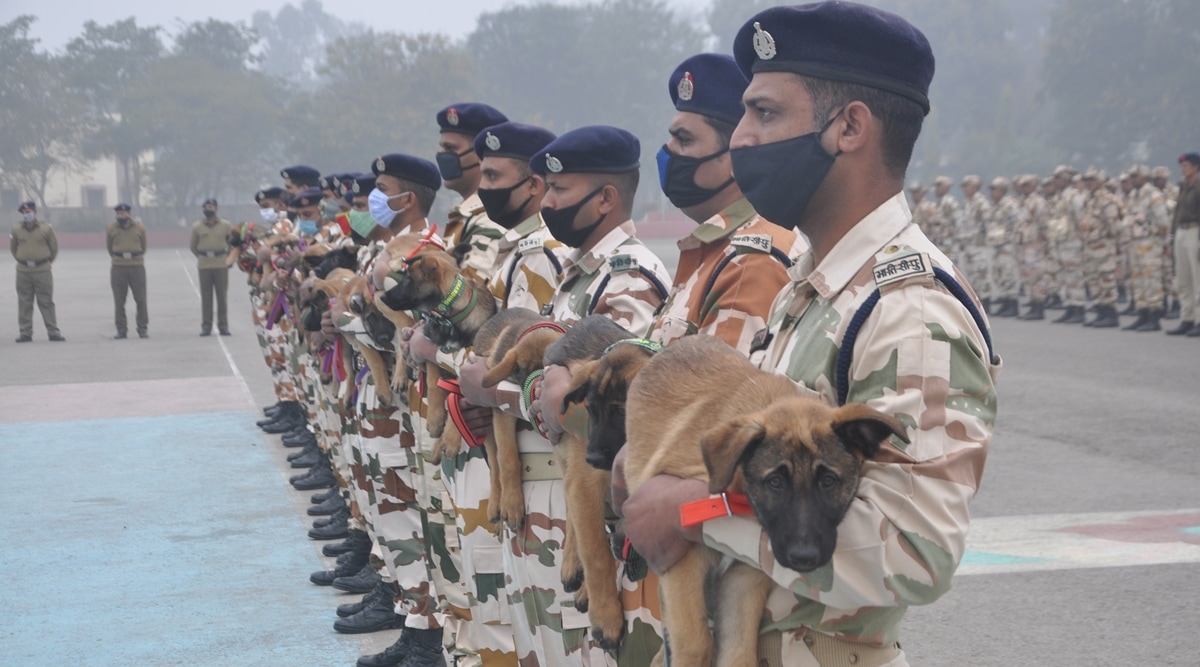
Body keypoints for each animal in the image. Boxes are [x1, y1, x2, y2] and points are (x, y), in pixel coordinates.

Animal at [624, 335, 902, 662]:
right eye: (775, 482)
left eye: (828, 481)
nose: (804, 557)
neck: (736, 490)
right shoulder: (683, 560)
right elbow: (696, 644)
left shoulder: (744, 579)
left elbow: (740, 654)